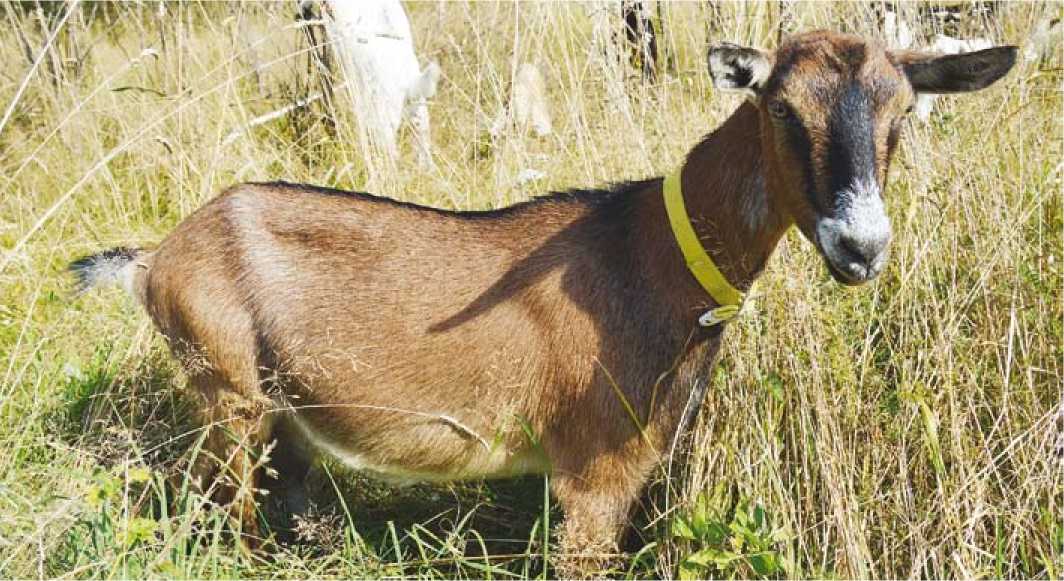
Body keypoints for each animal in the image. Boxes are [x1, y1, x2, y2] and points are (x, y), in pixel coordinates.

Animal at [70, 31, 1016, 575]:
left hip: (278, 410)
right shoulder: (595, 469)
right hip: (223, 393)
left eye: (905, 110)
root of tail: (155, 256)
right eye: (781, 107)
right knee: (220, 515)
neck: (652, 257)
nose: (862, 246)